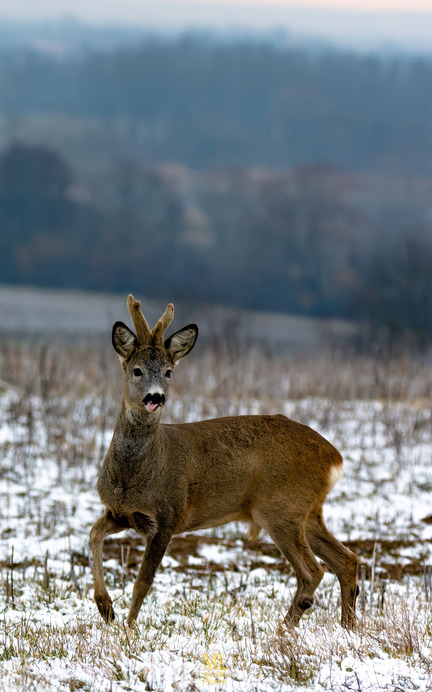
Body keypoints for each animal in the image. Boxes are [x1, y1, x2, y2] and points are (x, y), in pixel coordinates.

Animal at [90, 294, 358, 628]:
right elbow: (94, 534)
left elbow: (142, 582)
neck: (132, 477)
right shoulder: (121, 513)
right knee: (347, 560)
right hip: (307, 512)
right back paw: (347, 628)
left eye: (168, 371)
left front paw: (128, 629)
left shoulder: (167, 517)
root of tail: (335, 457)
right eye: (137, 370)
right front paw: (105, 607)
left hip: (281, 509)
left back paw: (284, 631)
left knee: (313, 571)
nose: (155, 397)